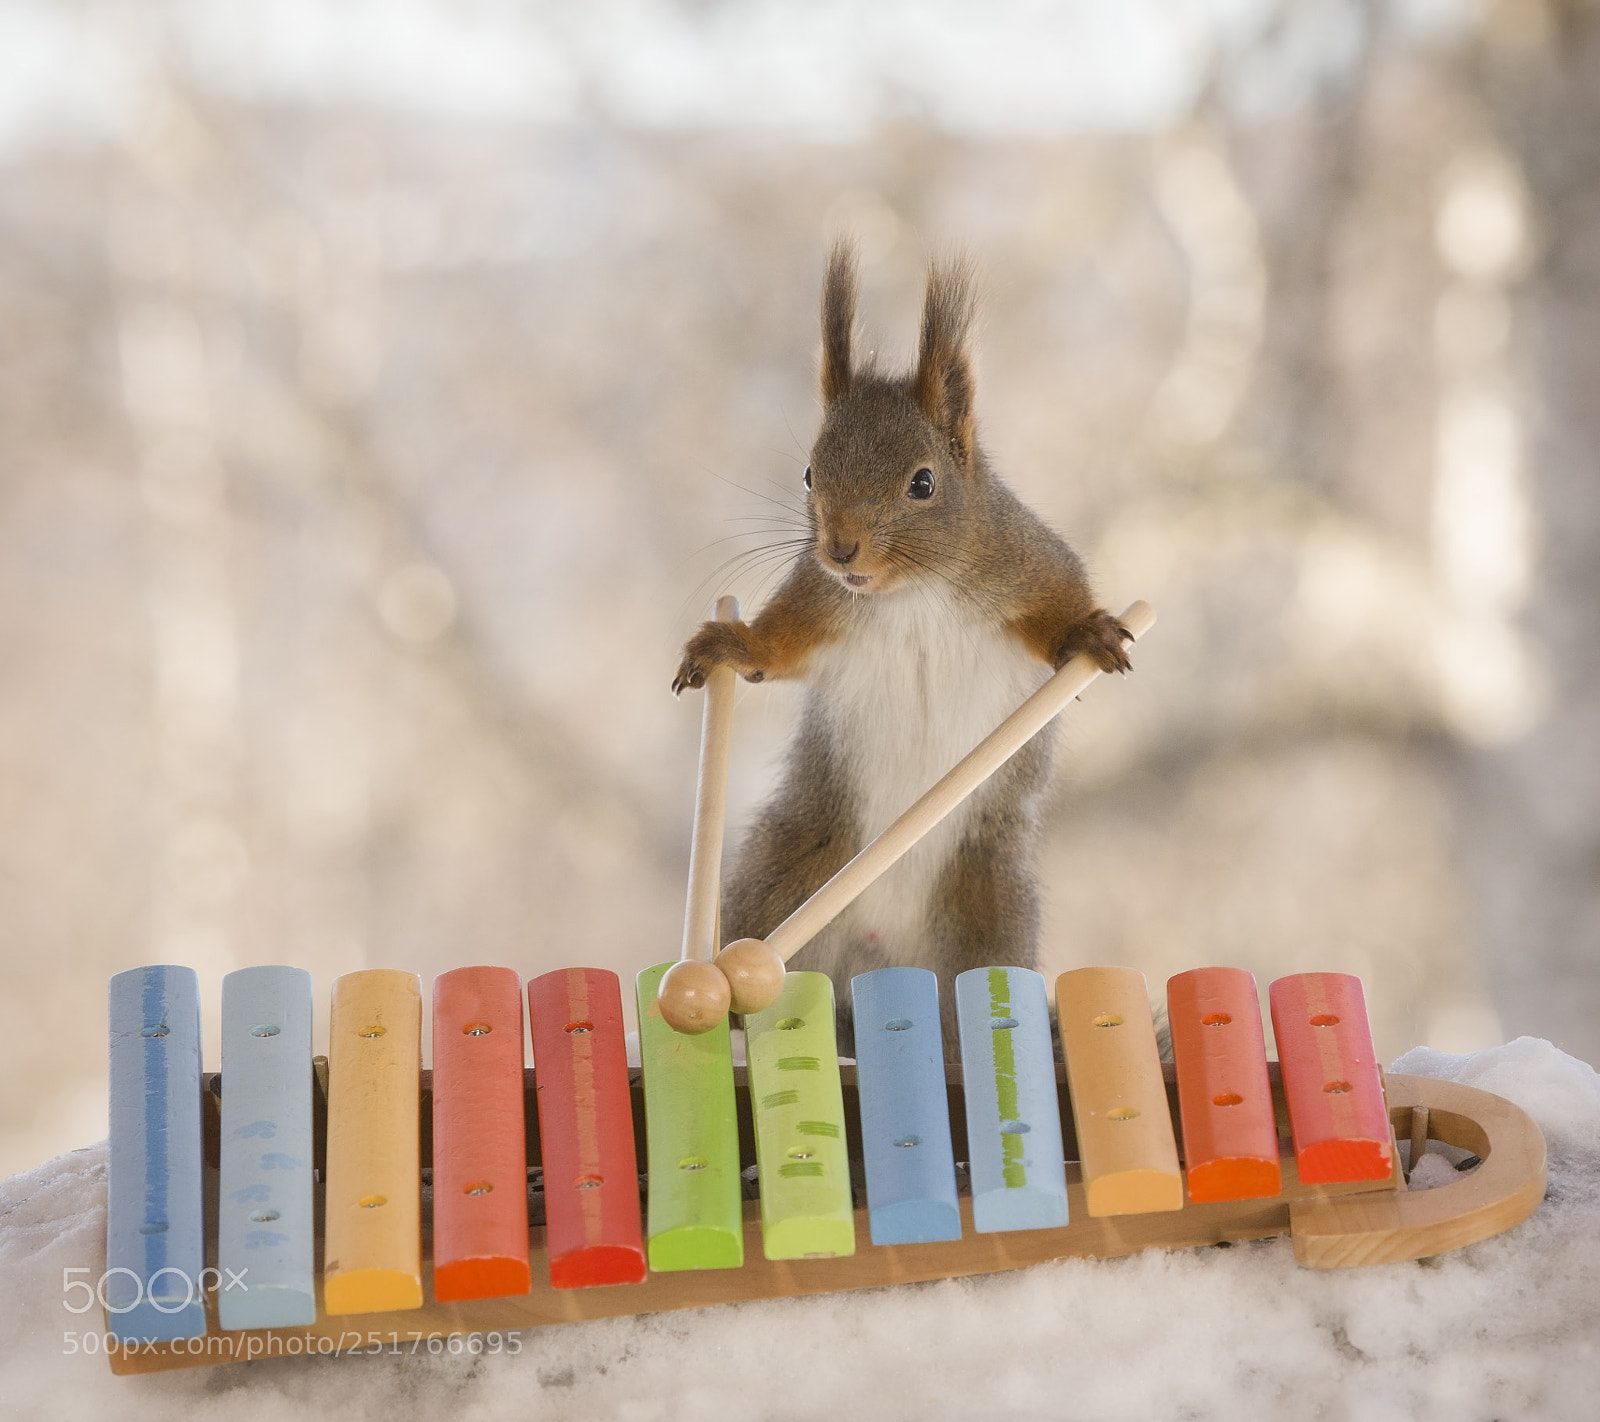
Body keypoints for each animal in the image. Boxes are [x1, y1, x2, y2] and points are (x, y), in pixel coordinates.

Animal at [673, 240, 1132, 1051]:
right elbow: (774, 649)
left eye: (924, 483)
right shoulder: (823, 603)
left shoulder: (1026, 564)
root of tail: (877, 964)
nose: (840, 548)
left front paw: (1091, 632)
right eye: (809, 472)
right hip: (786, 868)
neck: (908, 594)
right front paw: (726, 641)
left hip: (988, 908)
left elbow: (1059, 611)